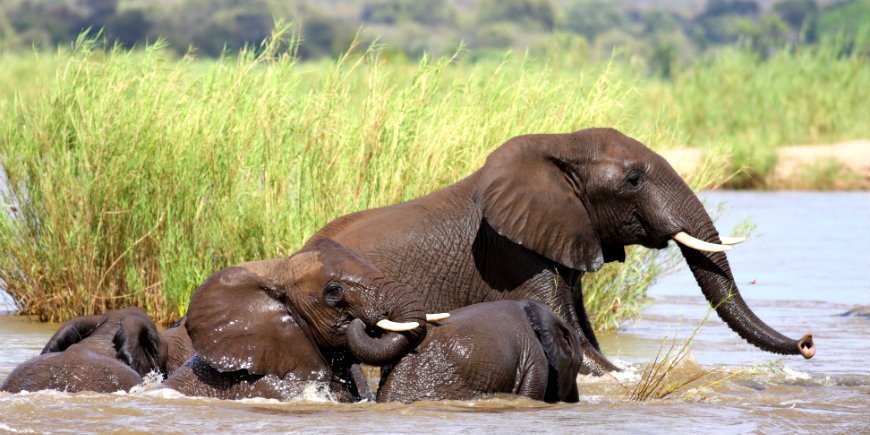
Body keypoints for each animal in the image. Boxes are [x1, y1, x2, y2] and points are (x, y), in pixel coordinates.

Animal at [314, 127, 816, 374]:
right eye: (634, 179)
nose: (809, 343)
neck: (558, 147)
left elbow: (583, 331)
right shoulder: (511, 255)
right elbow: (573, 338)